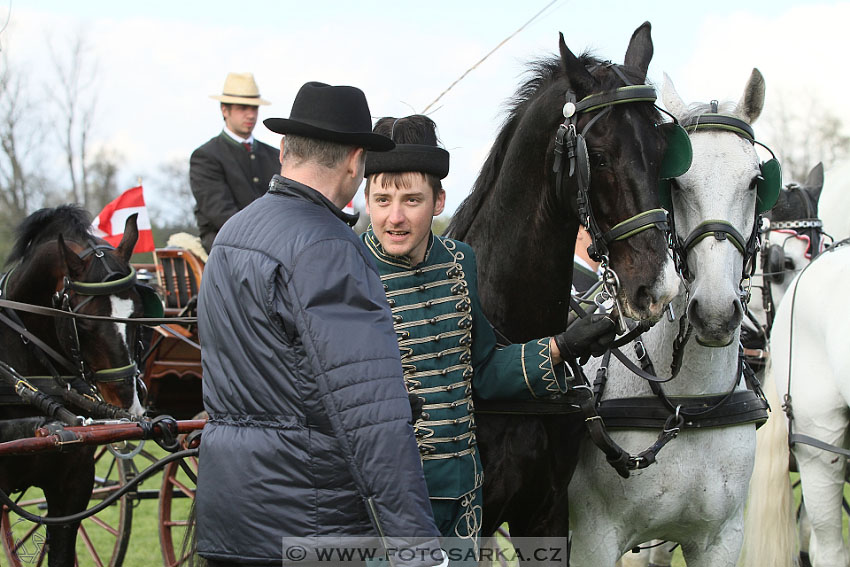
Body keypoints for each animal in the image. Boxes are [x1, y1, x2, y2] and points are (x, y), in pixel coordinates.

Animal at [568, 70, 772, 567]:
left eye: (756, 180)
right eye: (675, 184)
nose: (715, 311)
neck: (688, 406)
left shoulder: (721, 539)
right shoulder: (594, 539)